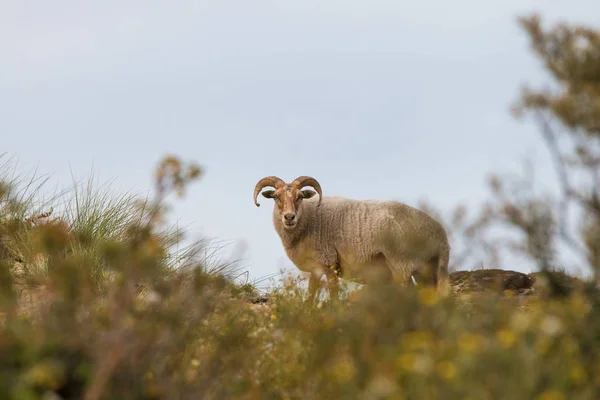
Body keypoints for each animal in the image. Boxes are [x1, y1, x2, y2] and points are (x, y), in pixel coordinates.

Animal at [253, 175, 450, 304]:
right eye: (276, 197)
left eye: (300, 197)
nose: (289, 217)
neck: (309, 220)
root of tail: (440, 235)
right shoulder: (316, 269)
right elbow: (310, 297)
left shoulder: (329, 263)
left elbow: (333, 295)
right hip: (426, 271)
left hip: (401, 266)